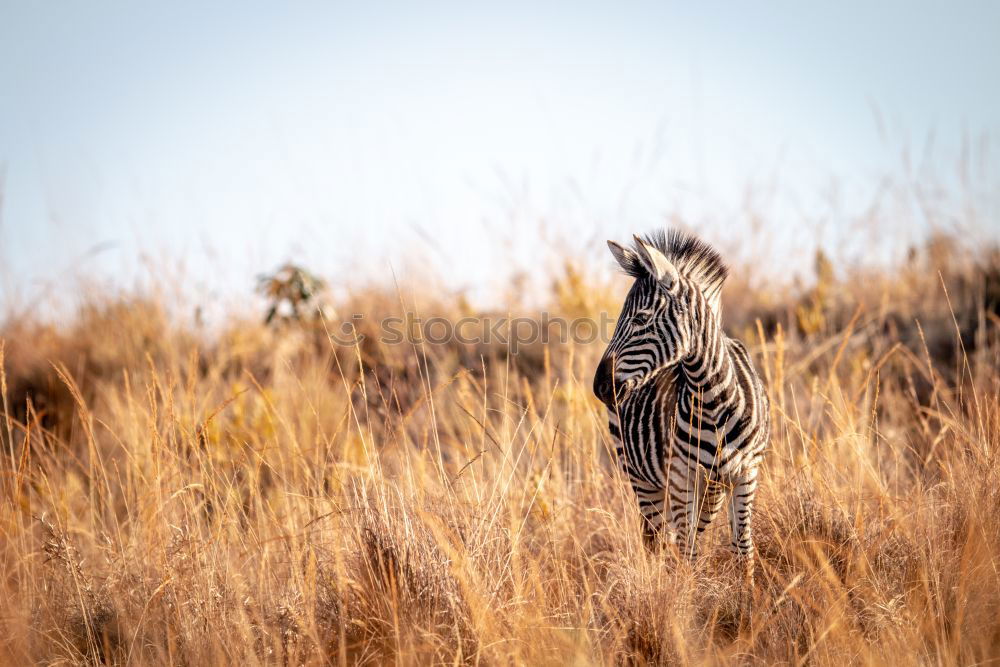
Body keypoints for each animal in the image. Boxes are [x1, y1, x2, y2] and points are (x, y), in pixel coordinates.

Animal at [592, 231, 772, 584]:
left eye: (641, 318)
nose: (601, 387)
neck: (715, 399)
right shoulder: (679, 476)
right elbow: (687, 553)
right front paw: (686, 596)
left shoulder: (746, 473)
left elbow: (742, 549)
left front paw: (747, 596)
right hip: (642, 478)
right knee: (661, 540)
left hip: (711, 486)